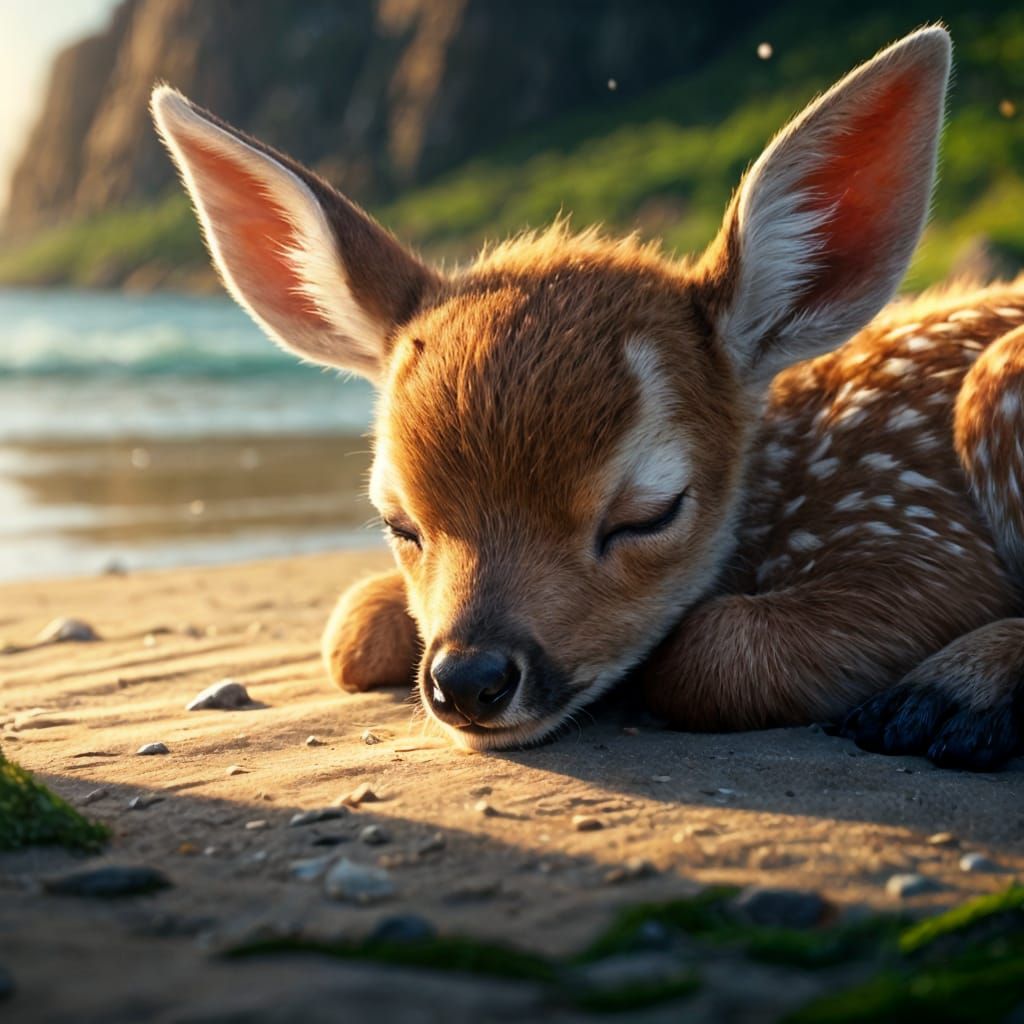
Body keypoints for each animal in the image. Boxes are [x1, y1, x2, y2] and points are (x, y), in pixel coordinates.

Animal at [152, 26, 1024, 771]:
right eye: (398, 522)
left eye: (650, 514)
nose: (469, 680)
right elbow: (354, 625)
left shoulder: (915, 532)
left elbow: (713, 654)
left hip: (998, 387)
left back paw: (954, 696)